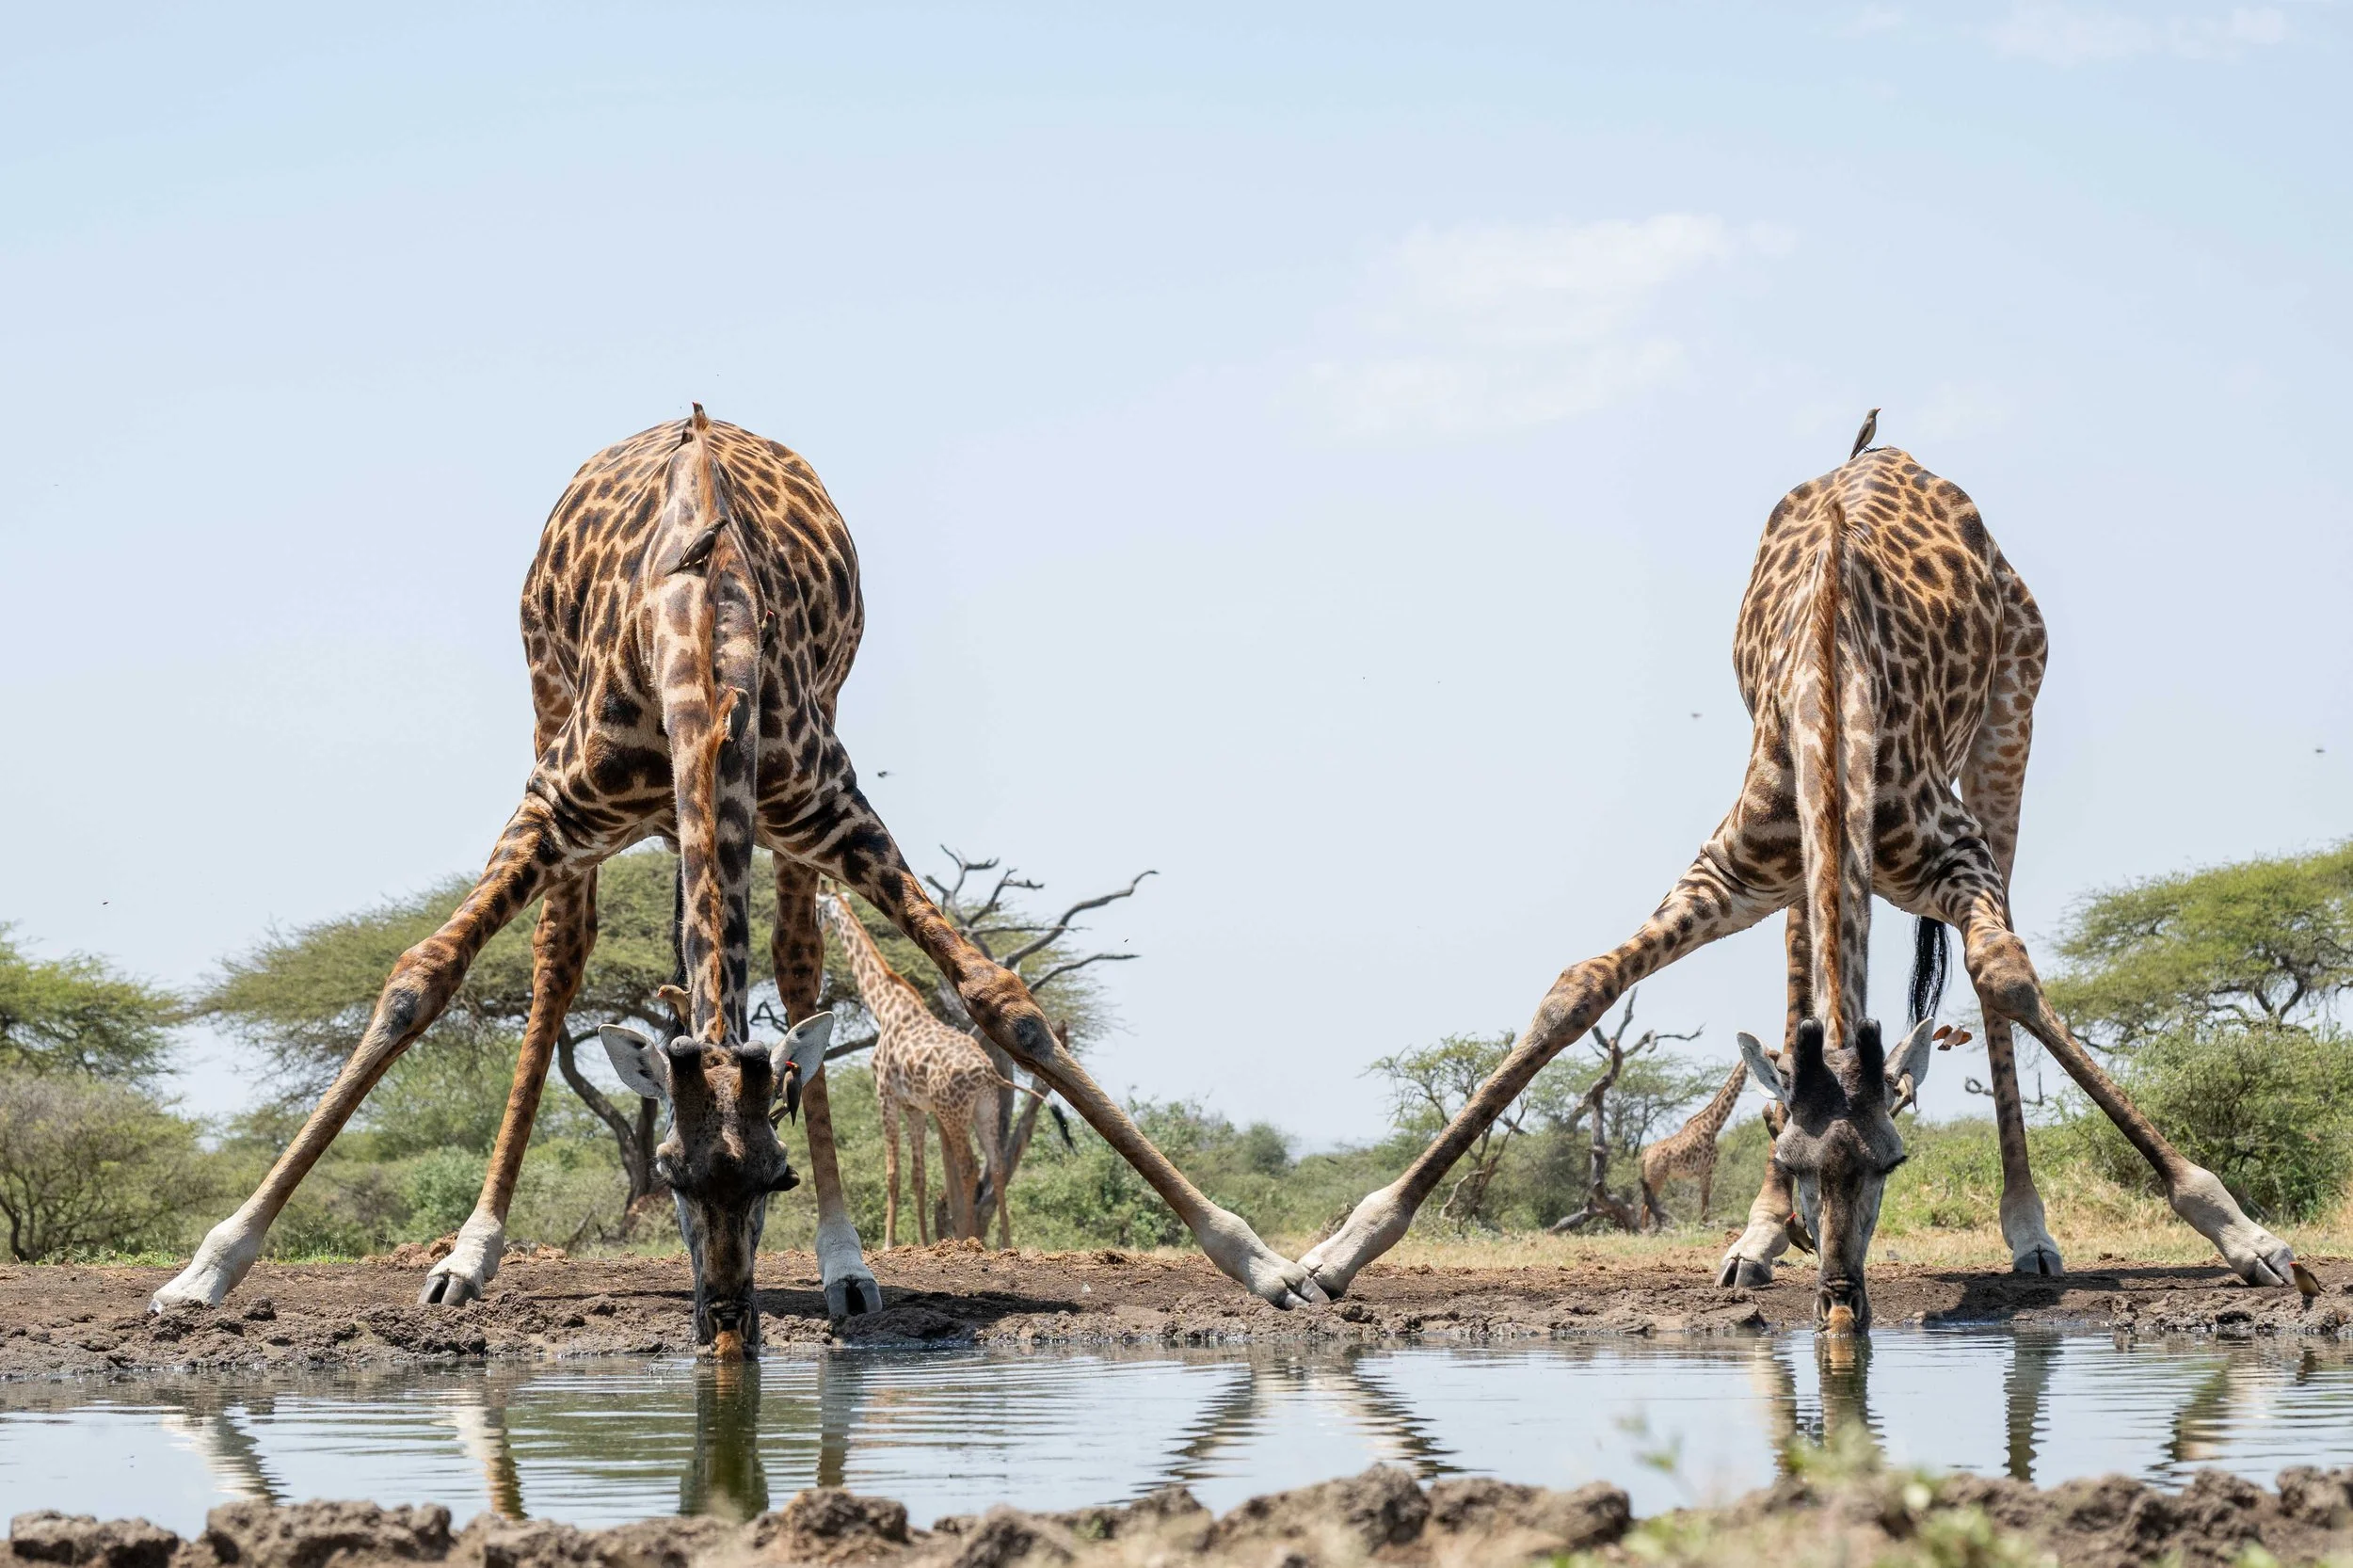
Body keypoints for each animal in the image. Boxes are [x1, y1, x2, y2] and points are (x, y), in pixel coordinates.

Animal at [818, 886, 1041, 1248]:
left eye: (818, 907)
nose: (816, 928)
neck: (884, 1007)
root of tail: (987, 1072)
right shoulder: (915, 1107)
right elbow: (917, 1176)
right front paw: (922, 1241)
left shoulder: (886, 1095)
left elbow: (892, 1173)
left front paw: (888, 1242)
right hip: (985, 1109)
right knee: (995, 1167)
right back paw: (1007, 1244)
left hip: (953, 1111)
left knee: (969, 1167)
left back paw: (967, 1238)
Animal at [1635, 1057, 1747, 1231]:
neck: (1714, 1124)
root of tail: (1645, 1155)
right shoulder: (1707, 1169)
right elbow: (1705, 1206)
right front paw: (1704, 1228)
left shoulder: (1703, 1172)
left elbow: (1704, 1205)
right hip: (1657, 1176)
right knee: (1645, 1207)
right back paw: (1648, 1231)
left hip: (1651, 1177)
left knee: (1646, 1205)